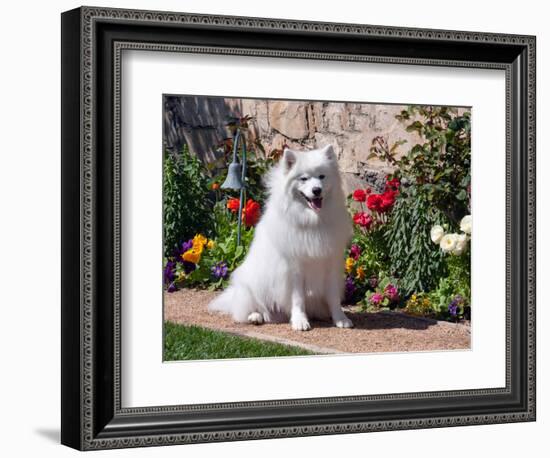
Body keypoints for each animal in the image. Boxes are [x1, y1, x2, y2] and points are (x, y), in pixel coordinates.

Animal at [209, 145, 356, 330]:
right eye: (304, 179)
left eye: (322, 176)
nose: (317, 190)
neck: (313, 221)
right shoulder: (294, 269)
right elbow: (298, 299)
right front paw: (300, 321)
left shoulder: (331, 263)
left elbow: (333, 297)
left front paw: (340, 319)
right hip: (251, 284)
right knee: (251, 308)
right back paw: (256, 316)